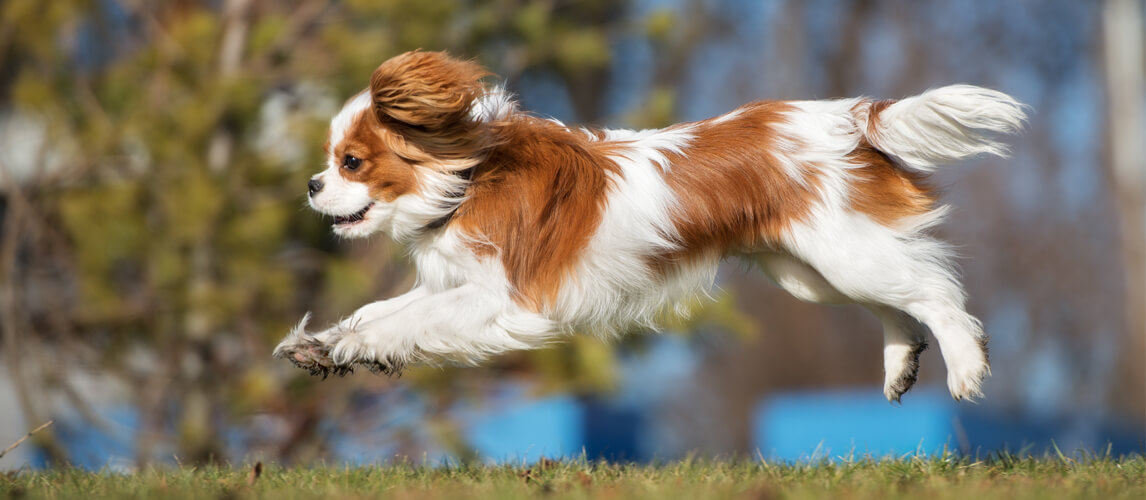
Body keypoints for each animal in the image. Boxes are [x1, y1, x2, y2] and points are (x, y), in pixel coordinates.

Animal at [277, 50, 1031, 401]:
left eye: (350, 161)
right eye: (329, 161)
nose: (311, 185)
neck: (466, 178)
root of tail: (851, 117)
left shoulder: (502, 300)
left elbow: (399, 320)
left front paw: (352, 347)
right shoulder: (450, 284)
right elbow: (381, 310)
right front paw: (326, 345)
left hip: (844, 254)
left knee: (936, 294)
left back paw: (967, 366)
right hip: (810, 272)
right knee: (897, 304)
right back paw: (902, 363)